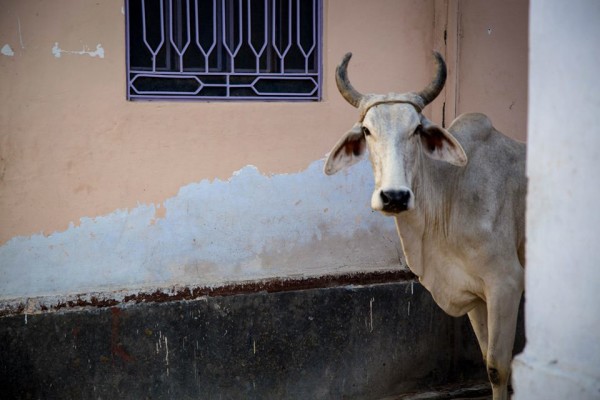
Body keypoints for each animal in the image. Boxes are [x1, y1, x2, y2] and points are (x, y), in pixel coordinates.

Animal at [326, 51, 528, 398]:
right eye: (366, 131)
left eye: (417, 130)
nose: (394, 196)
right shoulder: (476, 296)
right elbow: (487, 361)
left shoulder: (507, 283)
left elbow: (498, 368)